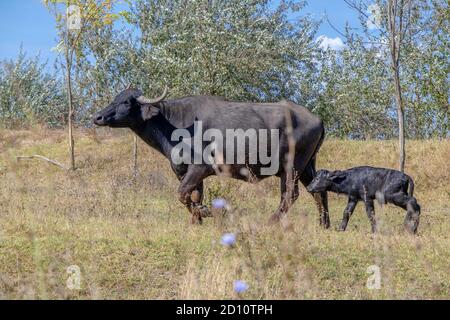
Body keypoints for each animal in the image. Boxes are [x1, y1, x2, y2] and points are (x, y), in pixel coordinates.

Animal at [92, 86, 330, 226]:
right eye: (114, 99)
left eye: (126, 102)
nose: (97, 117)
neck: (174, 123)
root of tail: (317, 118)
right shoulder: (185, 172)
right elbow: (194, 195)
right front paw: (196, 221)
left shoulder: (199, 168)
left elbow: (182, 194)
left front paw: (207, 213)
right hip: (307, 167)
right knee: (318, 191)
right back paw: (324, 224)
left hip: (291, 167)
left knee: (290, 195)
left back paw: (270, 221)